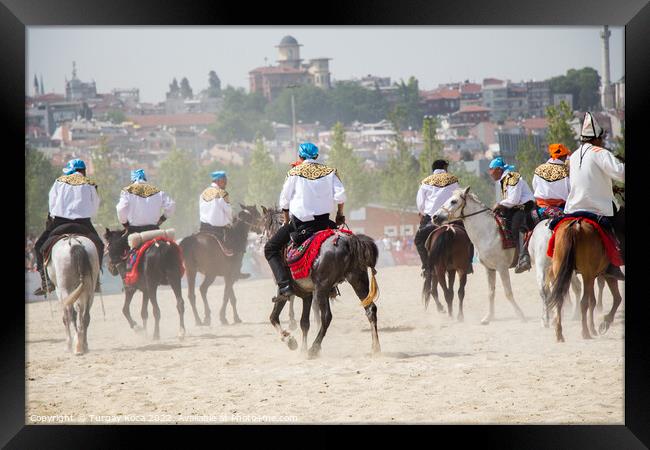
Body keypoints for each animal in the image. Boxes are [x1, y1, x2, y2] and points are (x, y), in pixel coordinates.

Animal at [430, 188, 528, 326]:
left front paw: (520, 315)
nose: (435, 217)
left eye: (454, 201)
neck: (490, 233)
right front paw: (488, 317)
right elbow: (491, 292)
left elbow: (508, 292)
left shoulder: (502, 267)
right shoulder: (490, 268)